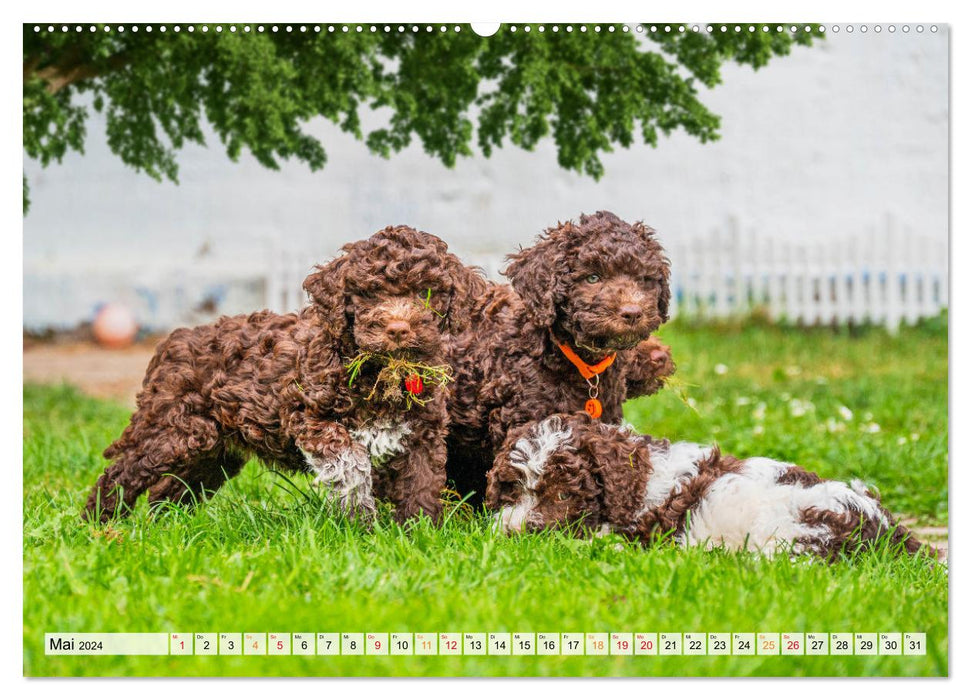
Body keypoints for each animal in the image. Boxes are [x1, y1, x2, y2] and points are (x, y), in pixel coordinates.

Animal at [84, 227, 482, 524]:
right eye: (370, 292)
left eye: (426, 292)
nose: (398, 329)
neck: (382, 372)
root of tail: (174, 339)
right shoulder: (308, 416)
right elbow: (351, 462)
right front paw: (361, 522)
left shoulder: (423, 435)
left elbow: (422, 486)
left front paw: (419, 535)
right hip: (171, 430)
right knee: (123, 474)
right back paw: (98, 525)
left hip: (213, 449)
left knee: (172, 490)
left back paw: (168, 529)